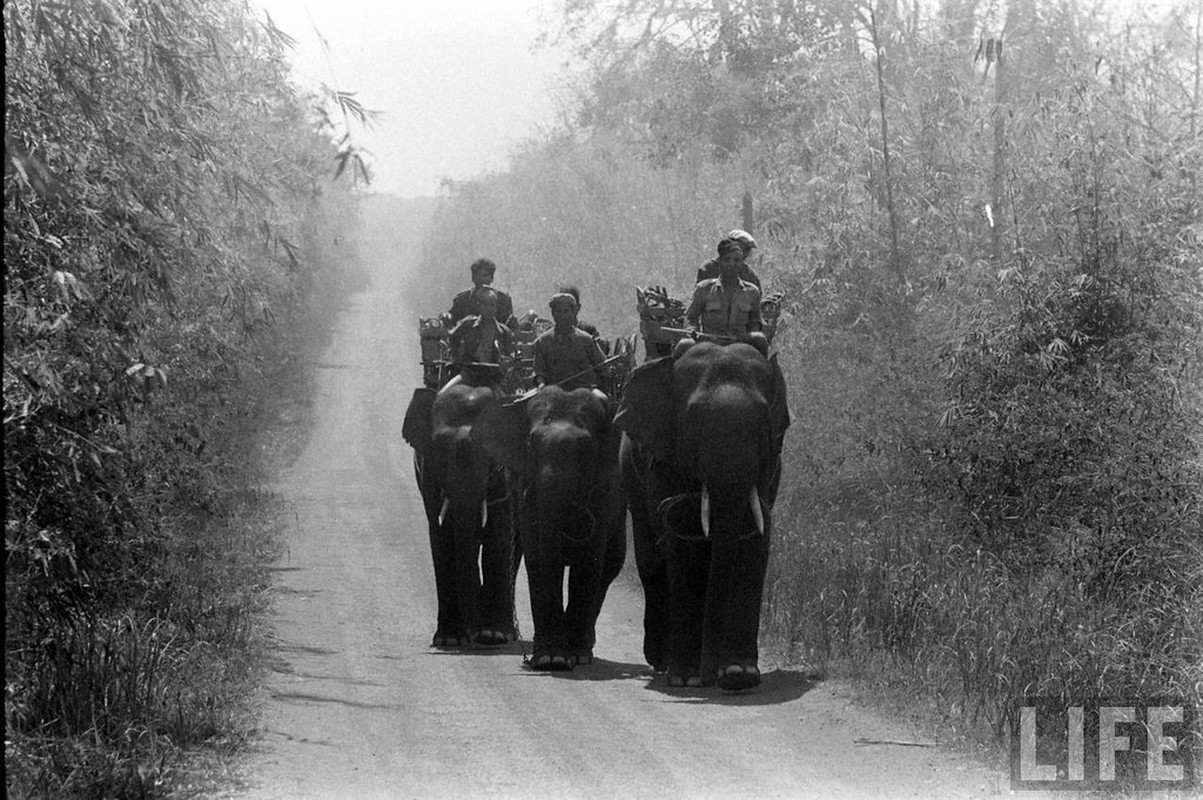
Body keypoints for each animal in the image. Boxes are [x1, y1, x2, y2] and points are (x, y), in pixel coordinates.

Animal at [401, 382, 519, 649]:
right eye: (438, 447)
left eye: (489, 450)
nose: (472, 634)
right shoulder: (428, 470)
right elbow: (441, 534)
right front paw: (449, 639)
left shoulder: (505, 473)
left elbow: (498, 534)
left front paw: (492, 636)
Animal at [471, 384, 630, 668]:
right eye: (532, 443)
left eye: (586, 447)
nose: (527, 659)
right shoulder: (525, 487)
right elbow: (537, 556)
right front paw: (551, 659)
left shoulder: (604, 489)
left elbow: (590, 558)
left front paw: (573, 656)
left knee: (610, 565)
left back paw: (582, 647)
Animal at [615, 339, 793, 688]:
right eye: (694, 418)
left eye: (763, 420)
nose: (712, 678)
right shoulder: (662, 457)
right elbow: (683, 545)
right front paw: (686, 679)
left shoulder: (769, 470)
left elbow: (754, 538)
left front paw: (739, 675)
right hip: (630, 477)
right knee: (652, 560)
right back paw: (662, 661)